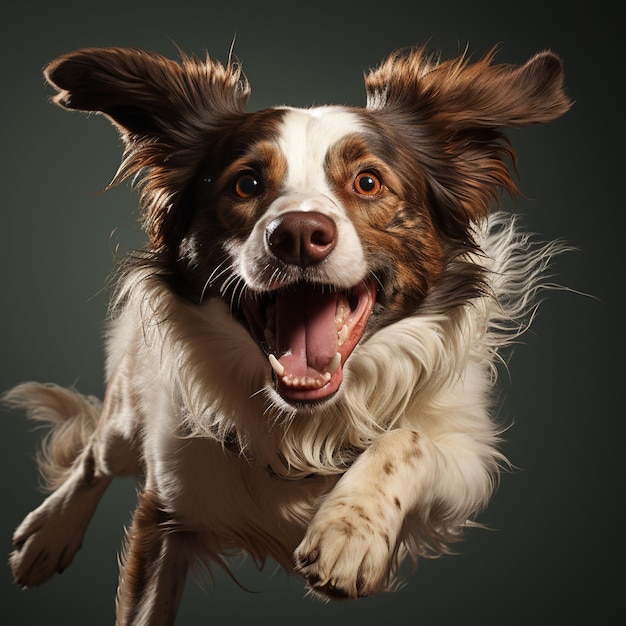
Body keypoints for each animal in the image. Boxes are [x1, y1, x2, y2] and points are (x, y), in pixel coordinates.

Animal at [4, 45, 568, 624]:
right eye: (246, 183)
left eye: (368, 181)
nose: (297, 234)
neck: (308, 429)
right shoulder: (164, 510)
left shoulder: (469, 461)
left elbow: (406, 440)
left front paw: (350, 530)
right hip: (129, 409)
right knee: (96, 456)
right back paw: (47, 536)